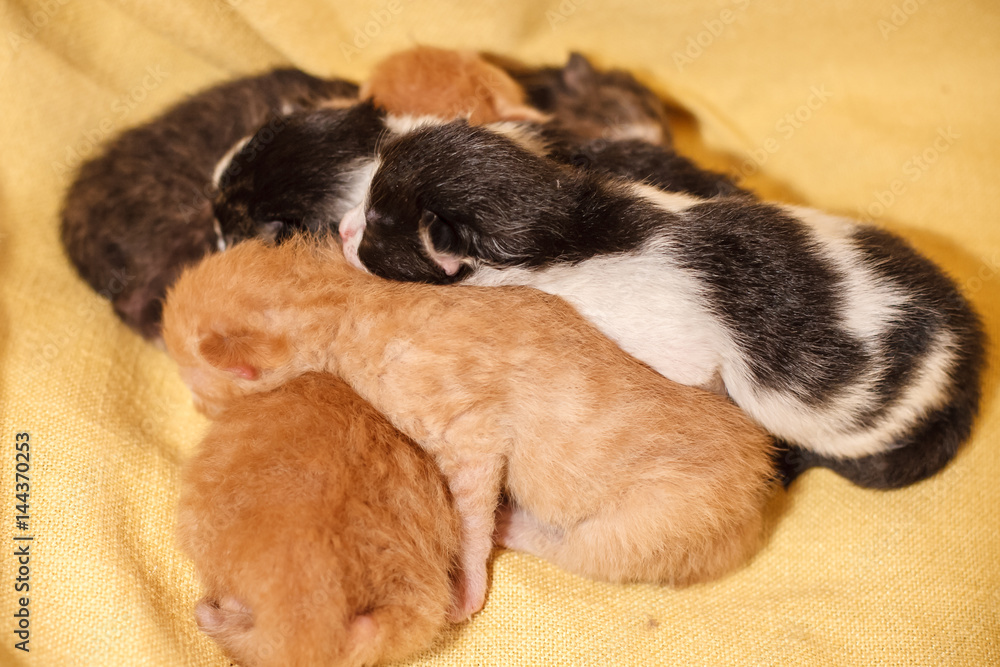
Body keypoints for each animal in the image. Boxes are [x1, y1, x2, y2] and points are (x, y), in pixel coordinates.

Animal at [162, 240, 780, 628]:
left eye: (198, 390)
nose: (193, 406)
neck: (345, 300)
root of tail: (758, 504)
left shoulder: (470, 433)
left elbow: (471, 514)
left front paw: (468, 586)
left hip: (651, 521)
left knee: (581, 548)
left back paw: (517, 527)